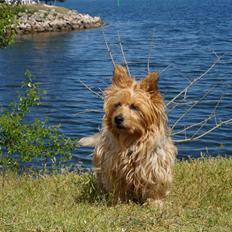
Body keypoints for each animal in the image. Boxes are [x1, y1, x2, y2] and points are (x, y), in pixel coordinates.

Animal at [79, 64, 177, 206]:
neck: (132, 138)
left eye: (134, 107)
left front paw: (155, 203)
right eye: (117, 104)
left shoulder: (155, 165)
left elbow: (154, 185)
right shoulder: (115, 167)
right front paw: (120, 202)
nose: (118, 119)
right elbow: (118, 186)